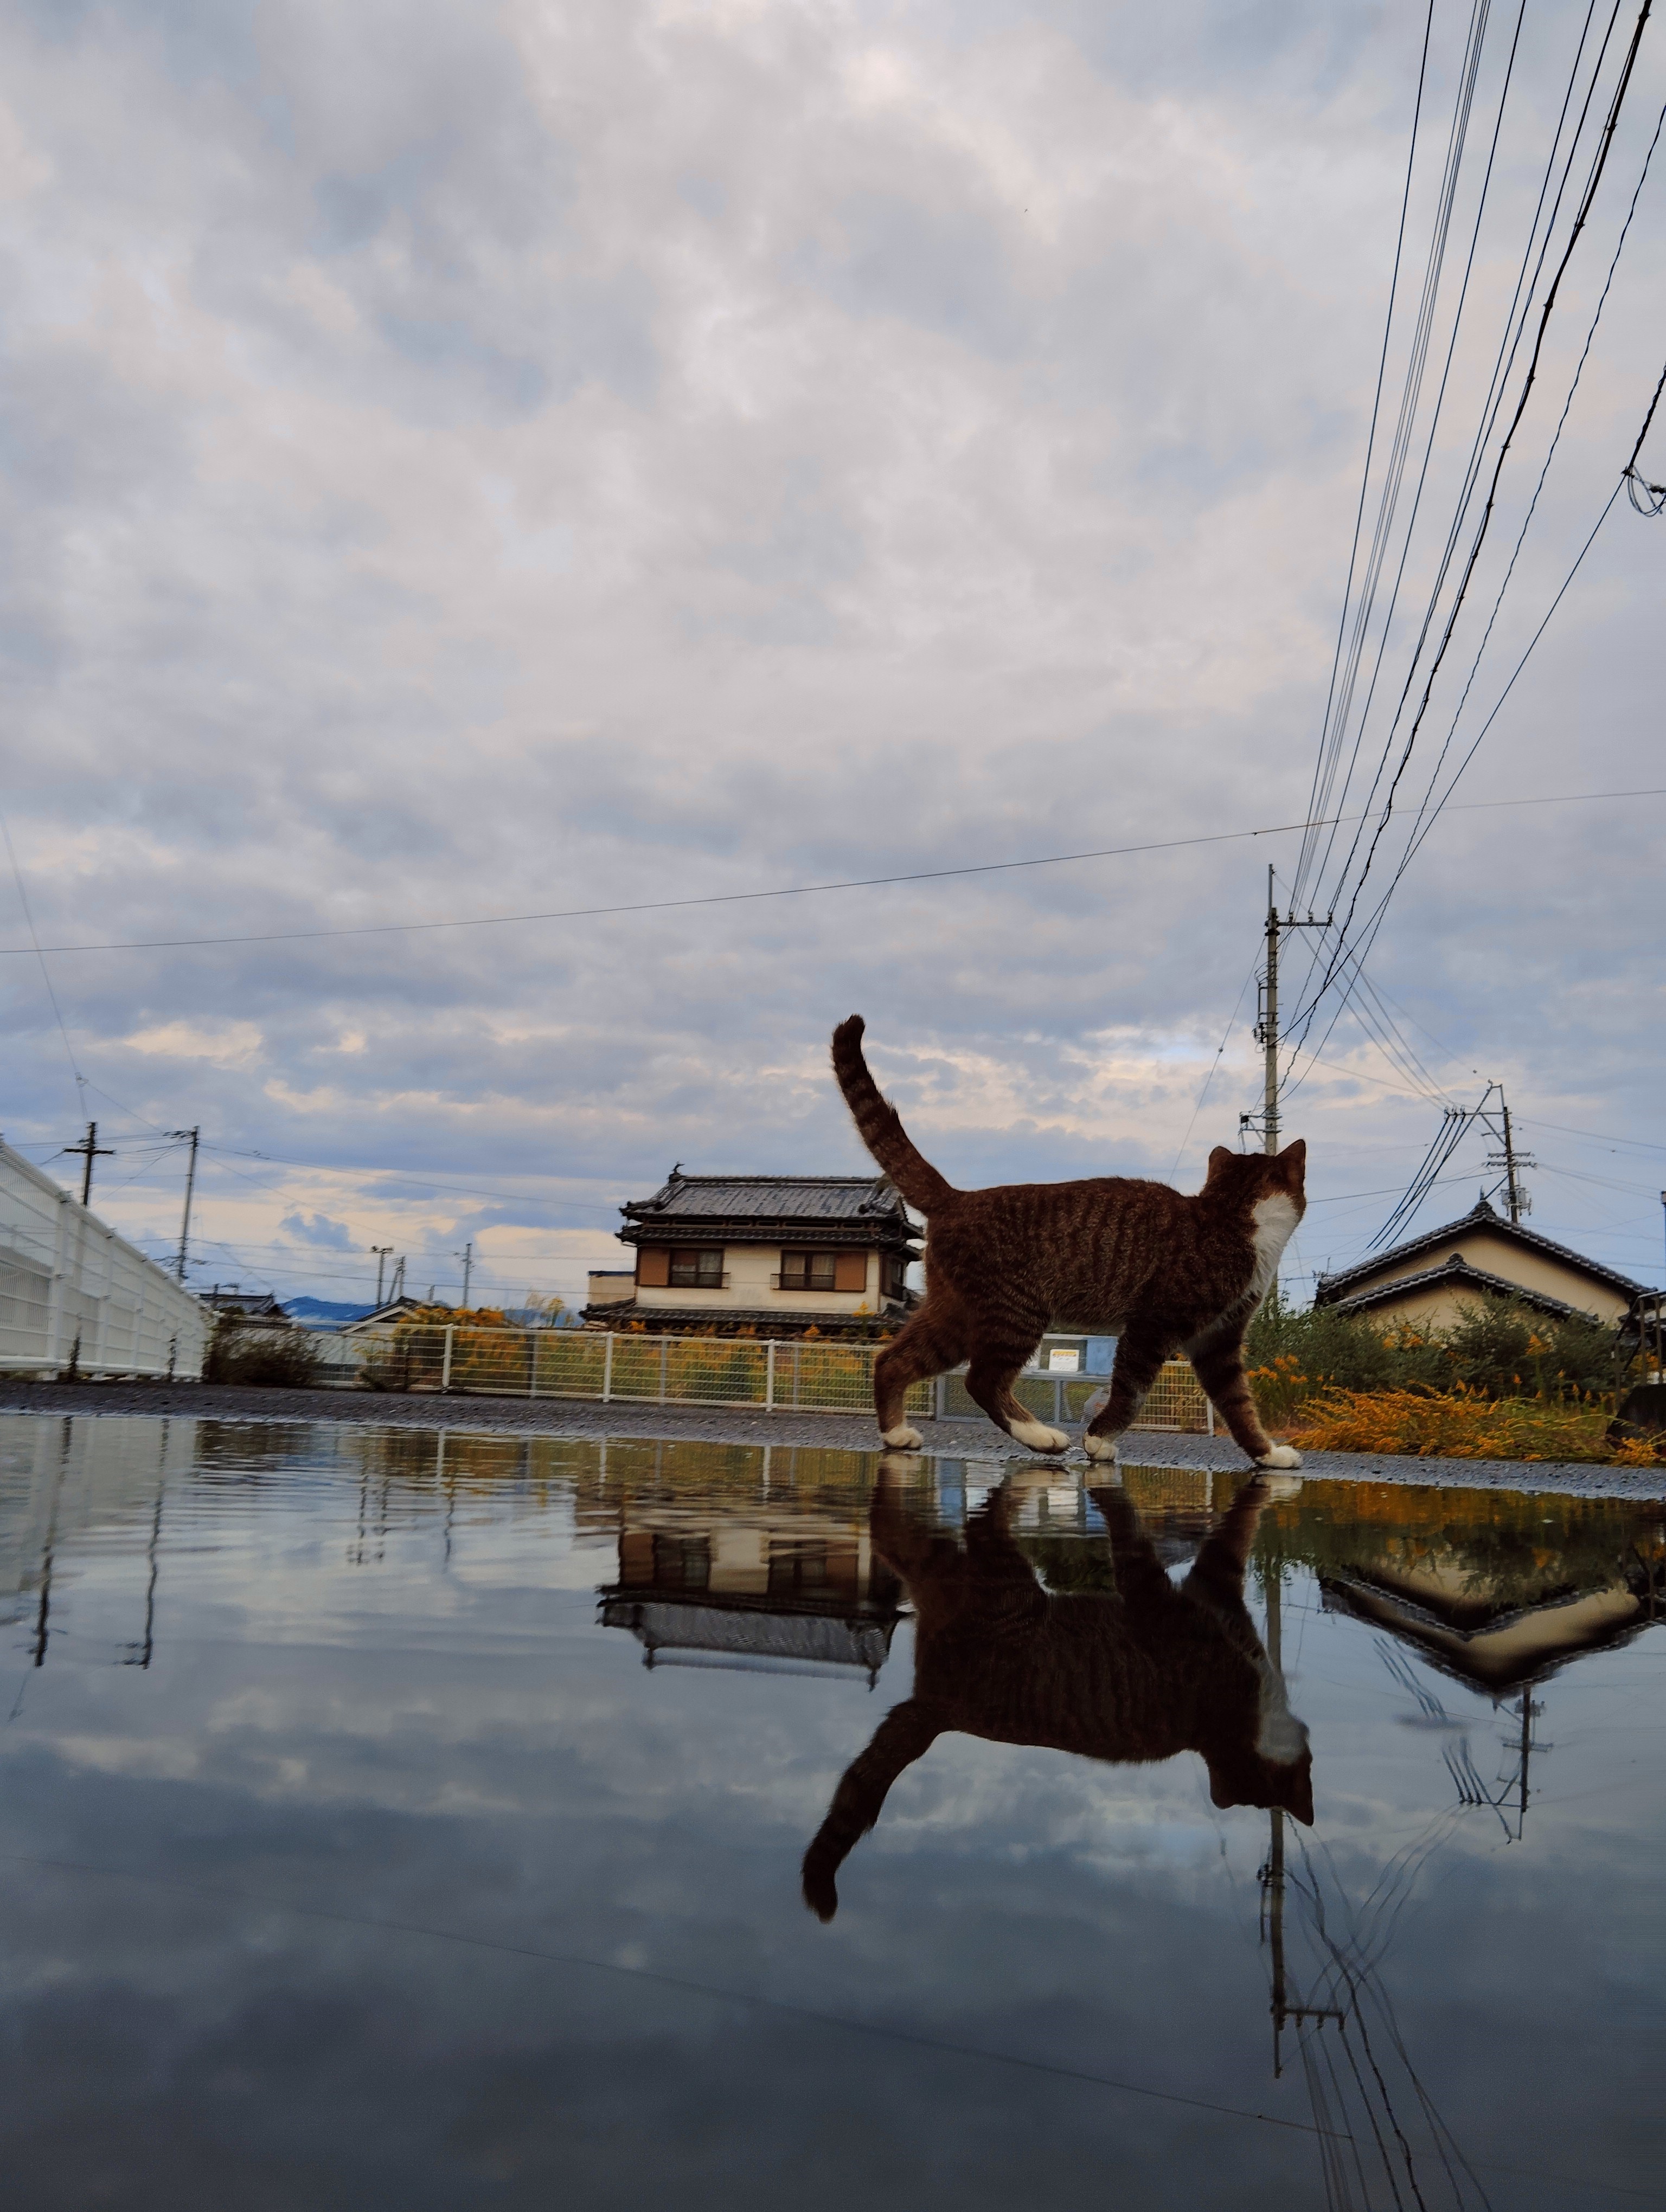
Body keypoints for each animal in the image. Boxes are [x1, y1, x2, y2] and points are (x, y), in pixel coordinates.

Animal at [805, 1469, 1310, 1920]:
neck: (1237, 1726)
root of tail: (941, 1707)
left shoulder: (1217, 1593)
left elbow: (1236, 1534)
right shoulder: (1166, 1604)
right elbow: (1135, 1537)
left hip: (935, 1563)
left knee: (889, 1528)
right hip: (1004, 1579)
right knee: (977, 1521)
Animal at [827, 1013, 1300, 1469]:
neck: (1230, 1213)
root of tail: (958, 1197)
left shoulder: (1219, 1341)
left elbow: (1239, 1406)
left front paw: (1268, 1454)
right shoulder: (1152, 1324)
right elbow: (1131, 1392)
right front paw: (1099, 1440)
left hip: (958, 1315)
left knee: (893, 1361)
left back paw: (896, 1434)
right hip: (1017, 1312)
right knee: (981, 1380)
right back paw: (1040, 1437)